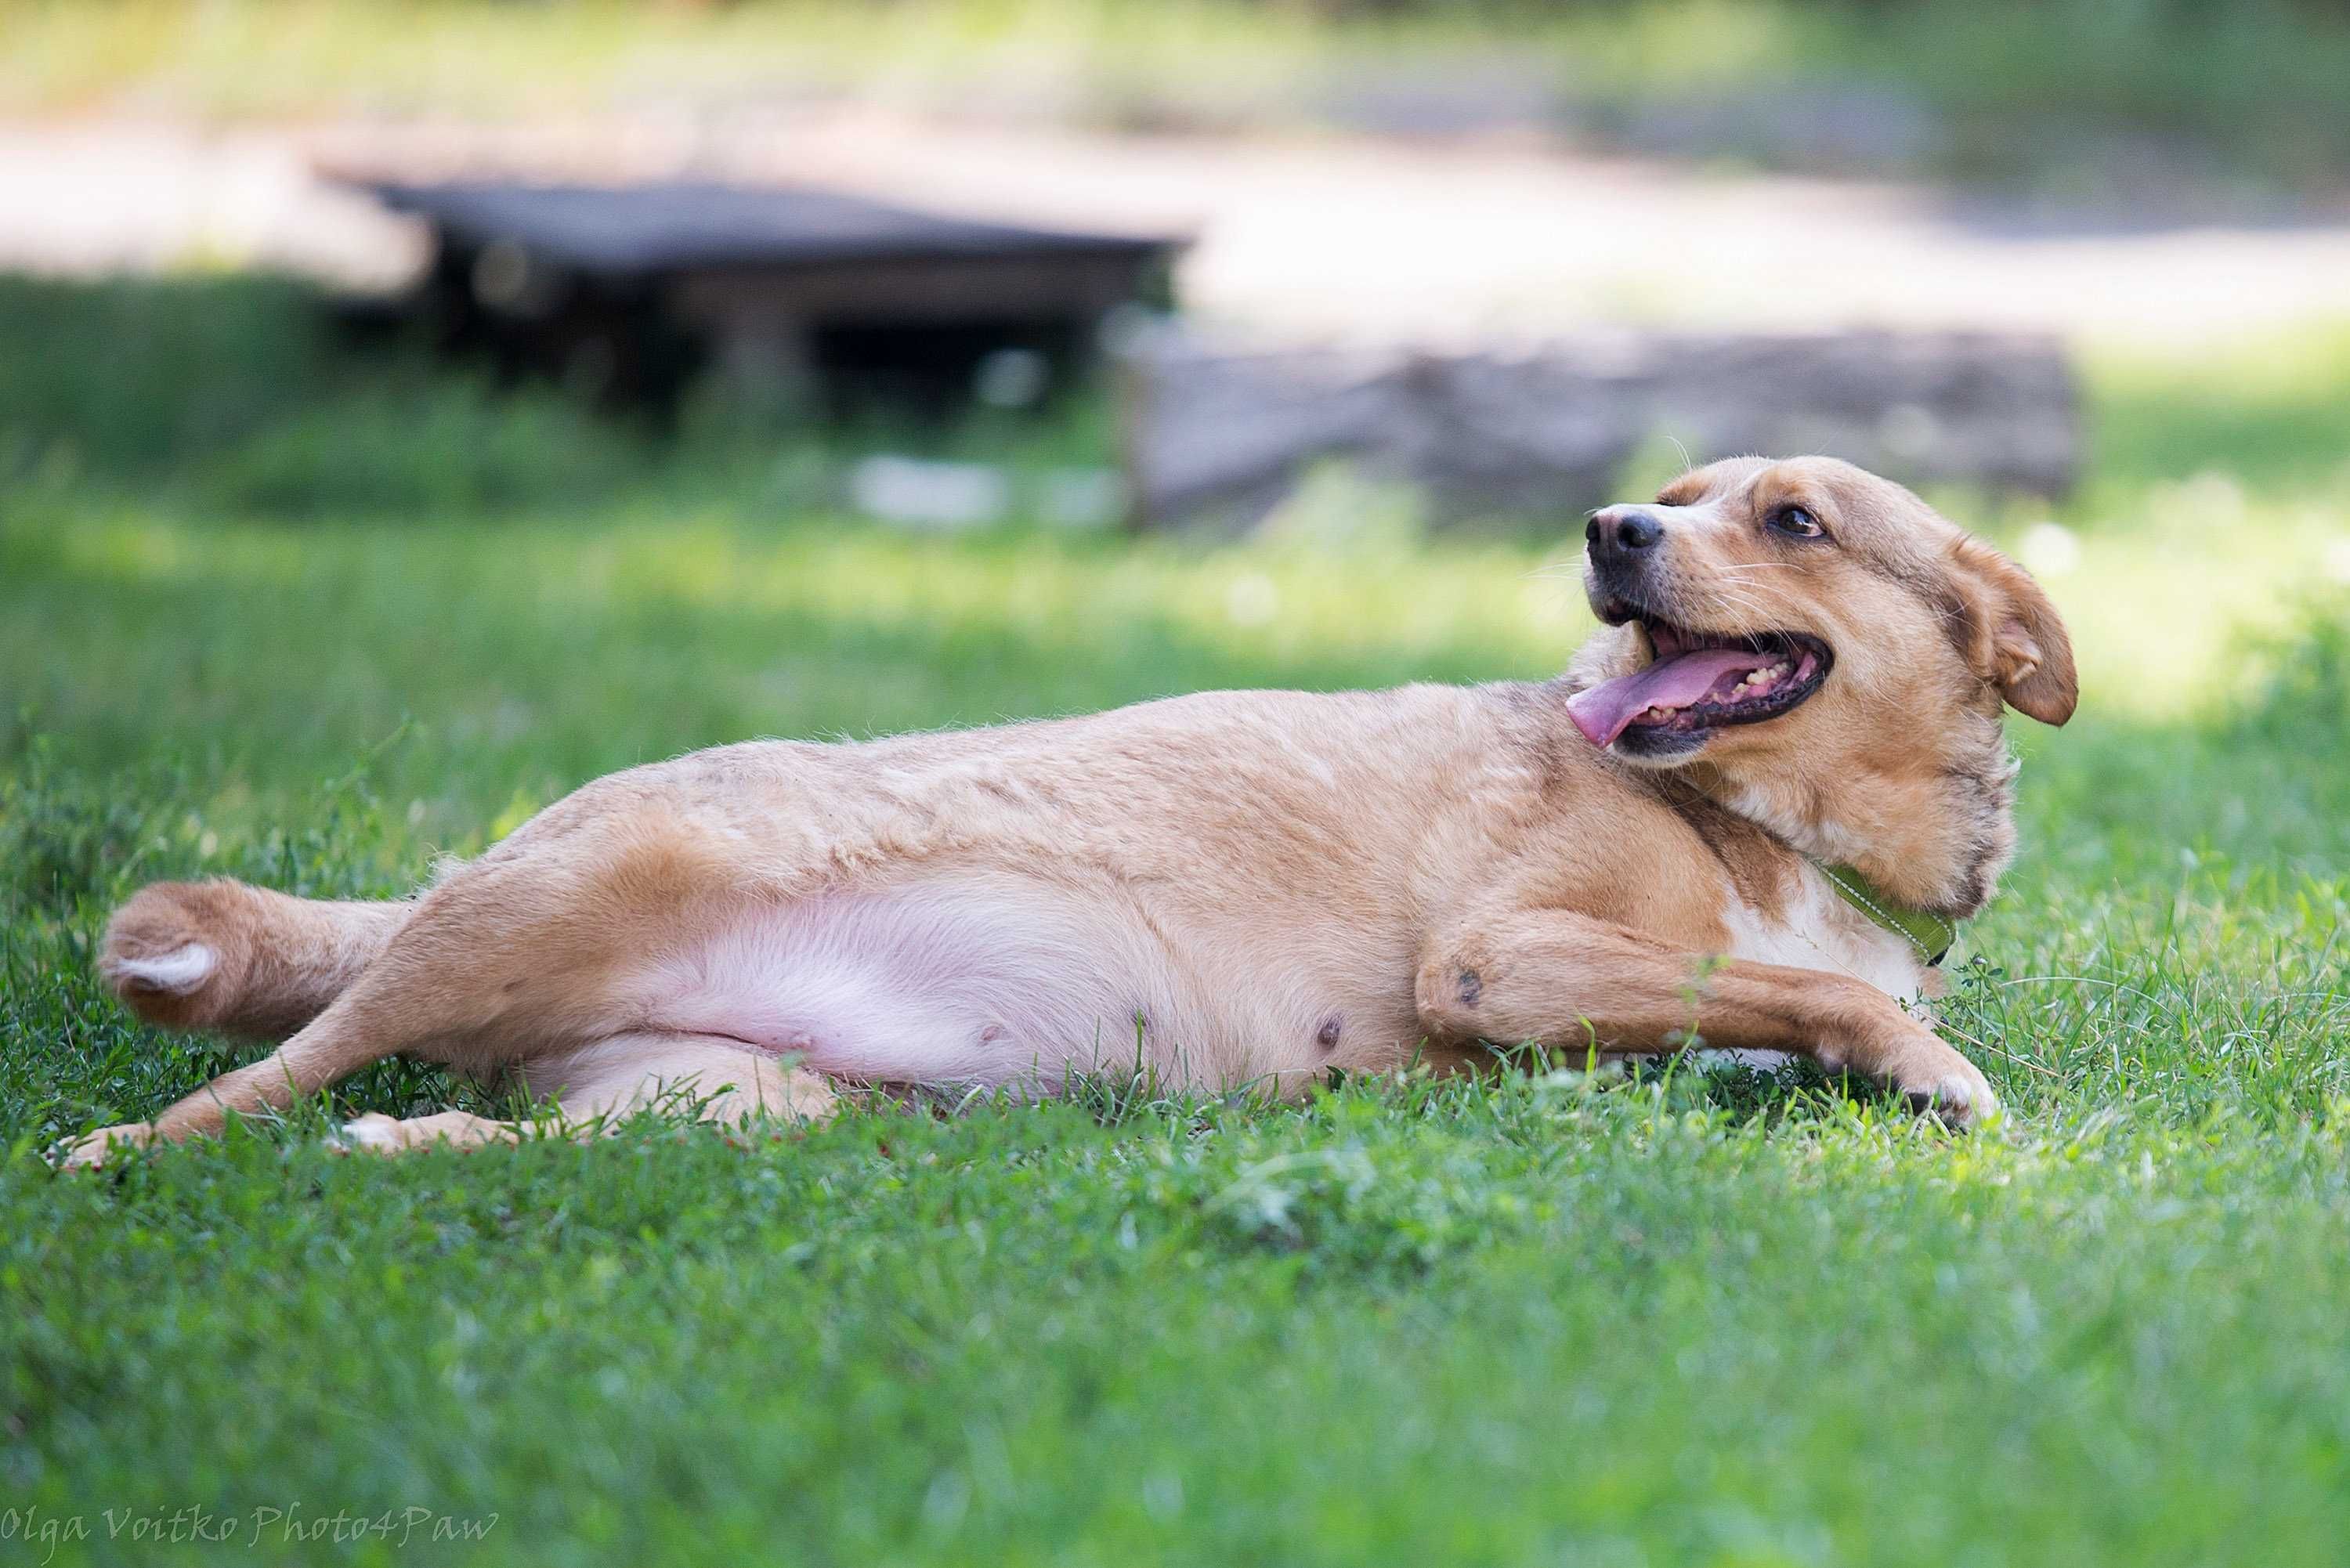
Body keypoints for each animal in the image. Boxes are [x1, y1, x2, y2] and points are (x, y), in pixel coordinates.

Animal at [64, 453, 2068, 1165]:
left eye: (1792, 517)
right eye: (1676, 489)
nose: (1607, 526)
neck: (1773, 833)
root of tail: (453, 874)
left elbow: (1783, 1004)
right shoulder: (1498, 963)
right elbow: (1805, 990)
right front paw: (1926, 1064)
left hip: (731, 1109)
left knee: (491, 1136)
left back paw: (403, 1150)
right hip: (544, 910)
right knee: (252, 1076)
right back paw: (120, 1158)